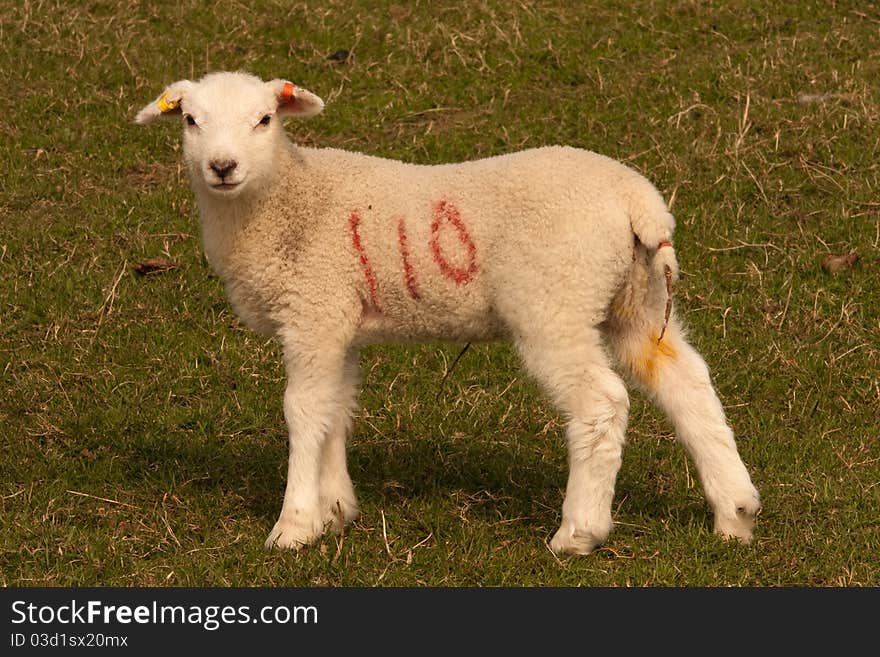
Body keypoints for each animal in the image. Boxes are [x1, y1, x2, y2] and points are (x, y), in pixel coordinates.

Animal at [134, 72, 760, 552]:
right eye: (190, 120)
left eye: (265, 119)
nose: (221, 166)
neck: (283, 200)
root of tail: (639, 203)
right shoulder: (341, 320)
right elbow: (337, 406)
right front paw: (336, 510)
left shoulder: (314, 308)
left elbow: (304, 410)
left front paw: (294, 527)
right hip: (638, 298)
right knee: (685, 380)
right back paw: (734, 512)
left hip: (553, 303)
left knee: (601, 404)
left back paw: (578, 532)